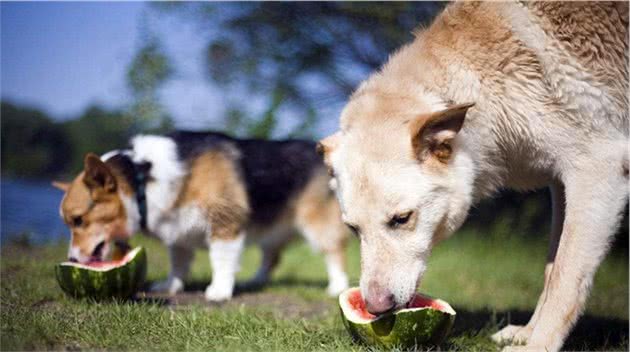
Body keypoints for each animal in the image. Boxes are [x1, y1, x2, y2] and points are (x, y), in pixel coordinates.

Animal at [324, 2, 628, 352]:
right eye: (353, 229)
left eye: (401, 219)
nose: (375, 308)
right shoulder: (560, 184)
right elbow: (552, 269)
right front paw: (527, 333)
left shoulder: (597, 168)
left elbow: (565, 276)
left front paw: (539, 344)